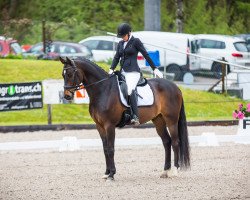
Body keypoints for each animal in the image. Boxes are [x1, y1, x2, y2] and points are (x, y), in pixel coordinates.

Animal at [60, 56, 189, 181]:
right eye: (63, 74)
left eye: (70, 74)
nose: (67, 96)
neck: (103, 89)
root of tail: (175, 86)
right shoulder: (99, 126)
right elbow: (105, 149)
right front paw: (106, 173)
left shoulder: (109, 125)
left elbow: (111, 149)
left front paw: (112, 174)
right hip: (159, 120)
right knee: (166, 142)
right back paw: (165, 171)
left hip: (171, 120)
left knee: (175, 142)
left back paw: (174, 171)